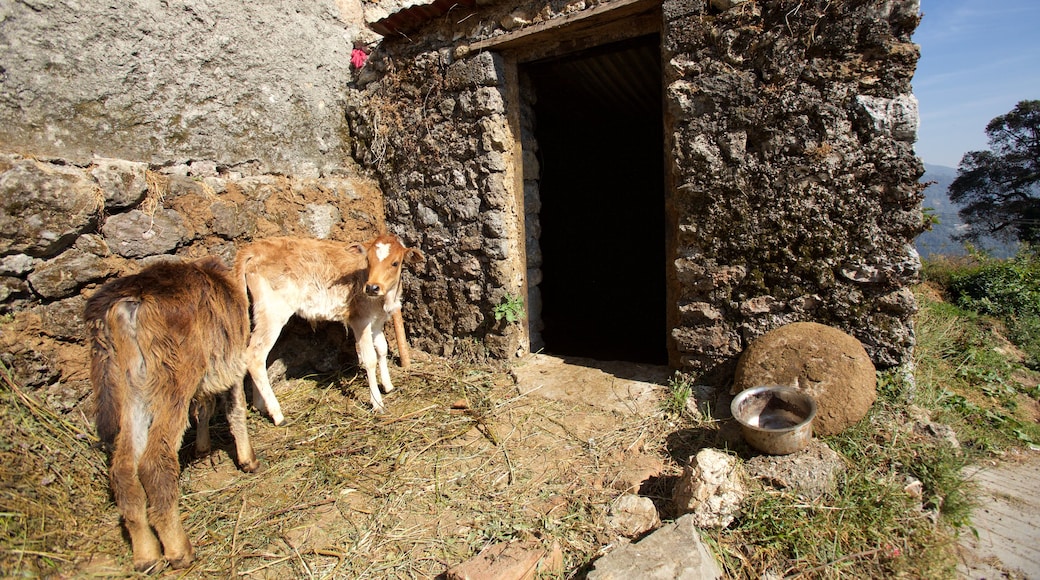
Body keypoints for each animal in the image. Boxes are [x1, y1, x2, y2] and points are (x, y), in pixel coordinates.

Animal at [85, 257, 260, 573]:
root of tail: (129, 302)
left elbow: (204, 407)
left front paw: (203, 448)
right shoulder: (232, 360)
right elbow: (235, 408)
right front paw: (248, 461)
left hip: (130, 388)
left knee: (123, 467)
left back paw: (146, 556)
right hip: (173, 377)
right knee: (155, 461)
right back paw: (179, 551)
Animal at [235, 232, 422, 428]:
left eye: (395, 263)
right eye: (368, 260)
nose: (372, 287)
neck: (383, 300)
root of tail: (255, 247)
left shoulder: (377, 321)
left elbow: (382, 348)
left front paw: (388, 386)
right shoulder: (360, 319)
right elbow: (369, 358)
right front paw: (377, 403)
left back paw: (260, 406)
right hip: (273, 311)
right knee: (255, 355)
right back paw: (277, 414)